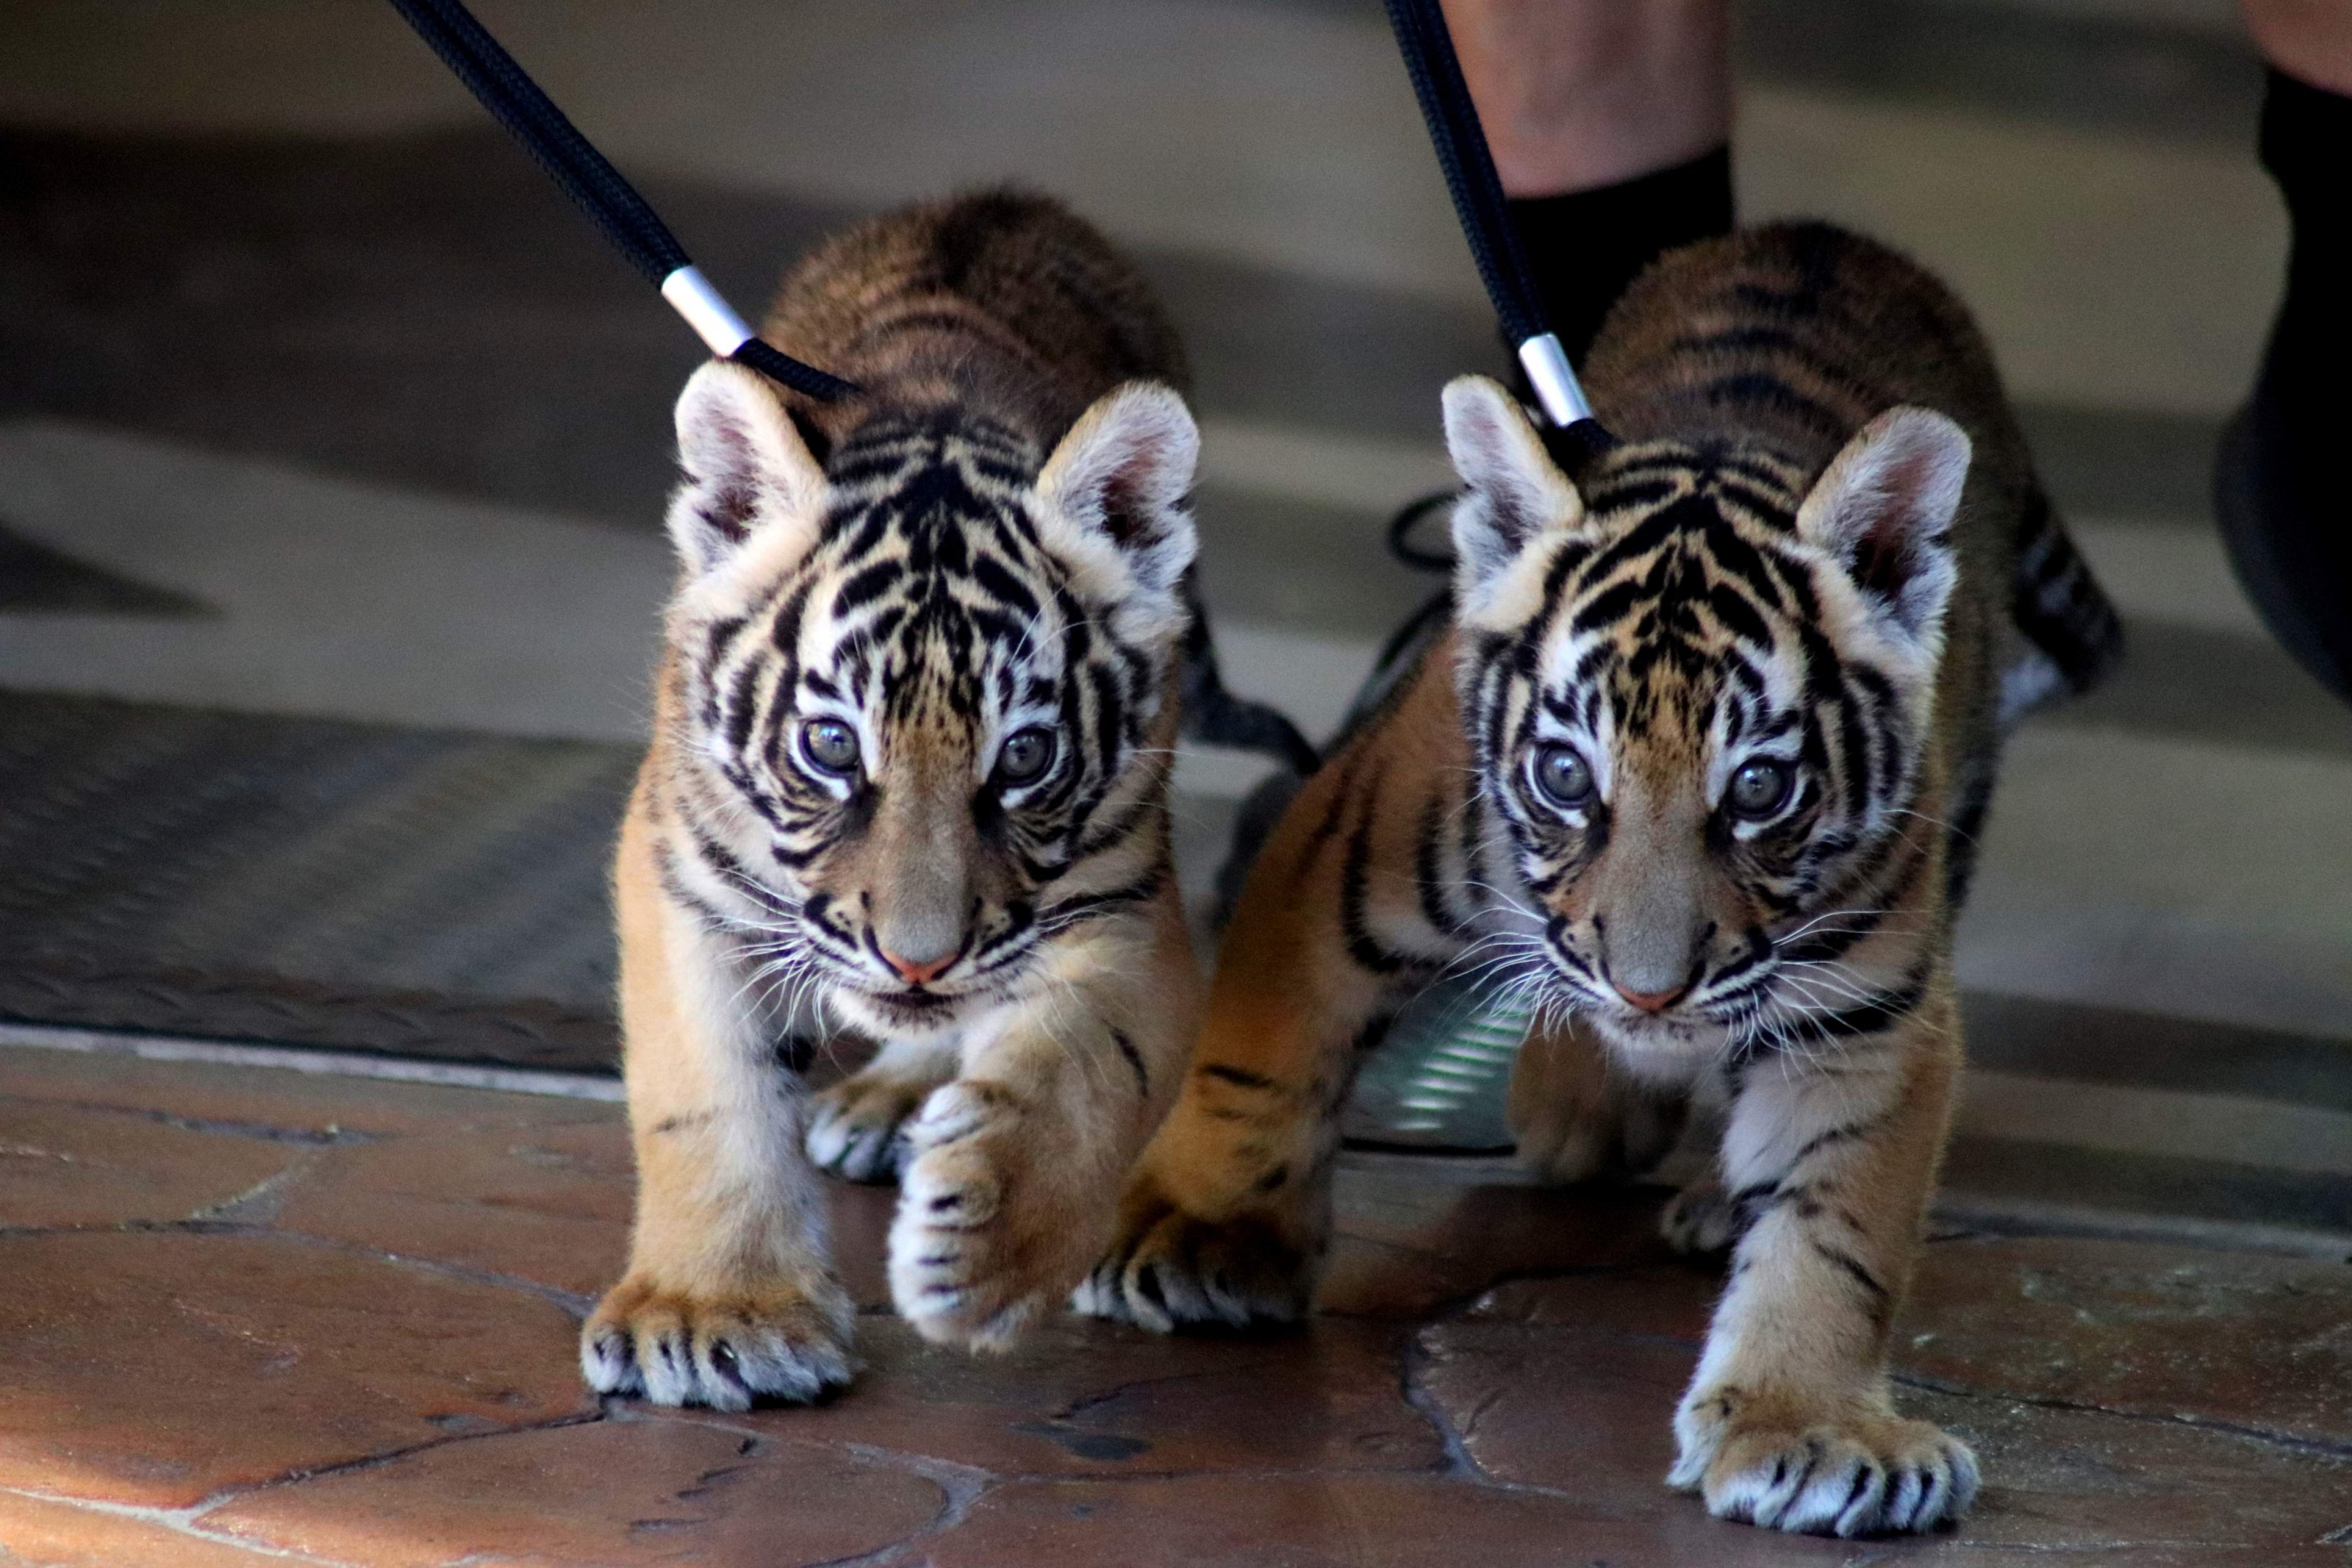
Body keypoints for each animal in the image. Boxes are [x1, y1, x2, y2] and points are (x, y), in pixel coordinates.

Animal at [582, 190, 1275, 1409]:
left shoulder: (1128, 905)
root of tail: (999, 200)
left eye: (1026, 758)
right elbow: (705, 1095)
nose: (918, 961)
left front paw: (982, 1253)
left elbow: (1092, 1072)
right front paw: (715, 1315)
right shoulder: (678, 866)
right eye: (829, 745)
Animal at [1078, 222, 2122, 1537]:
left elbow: (1837, 1222)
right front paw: (1197, 1240)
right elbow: (1258, 1054)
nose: (1651, 992)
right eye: (1568, 777)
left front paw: (1810, 1427)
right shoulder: (1334, 855)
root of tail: (1832, 241)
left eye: (1760, 790)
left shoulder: (1868, 1004)